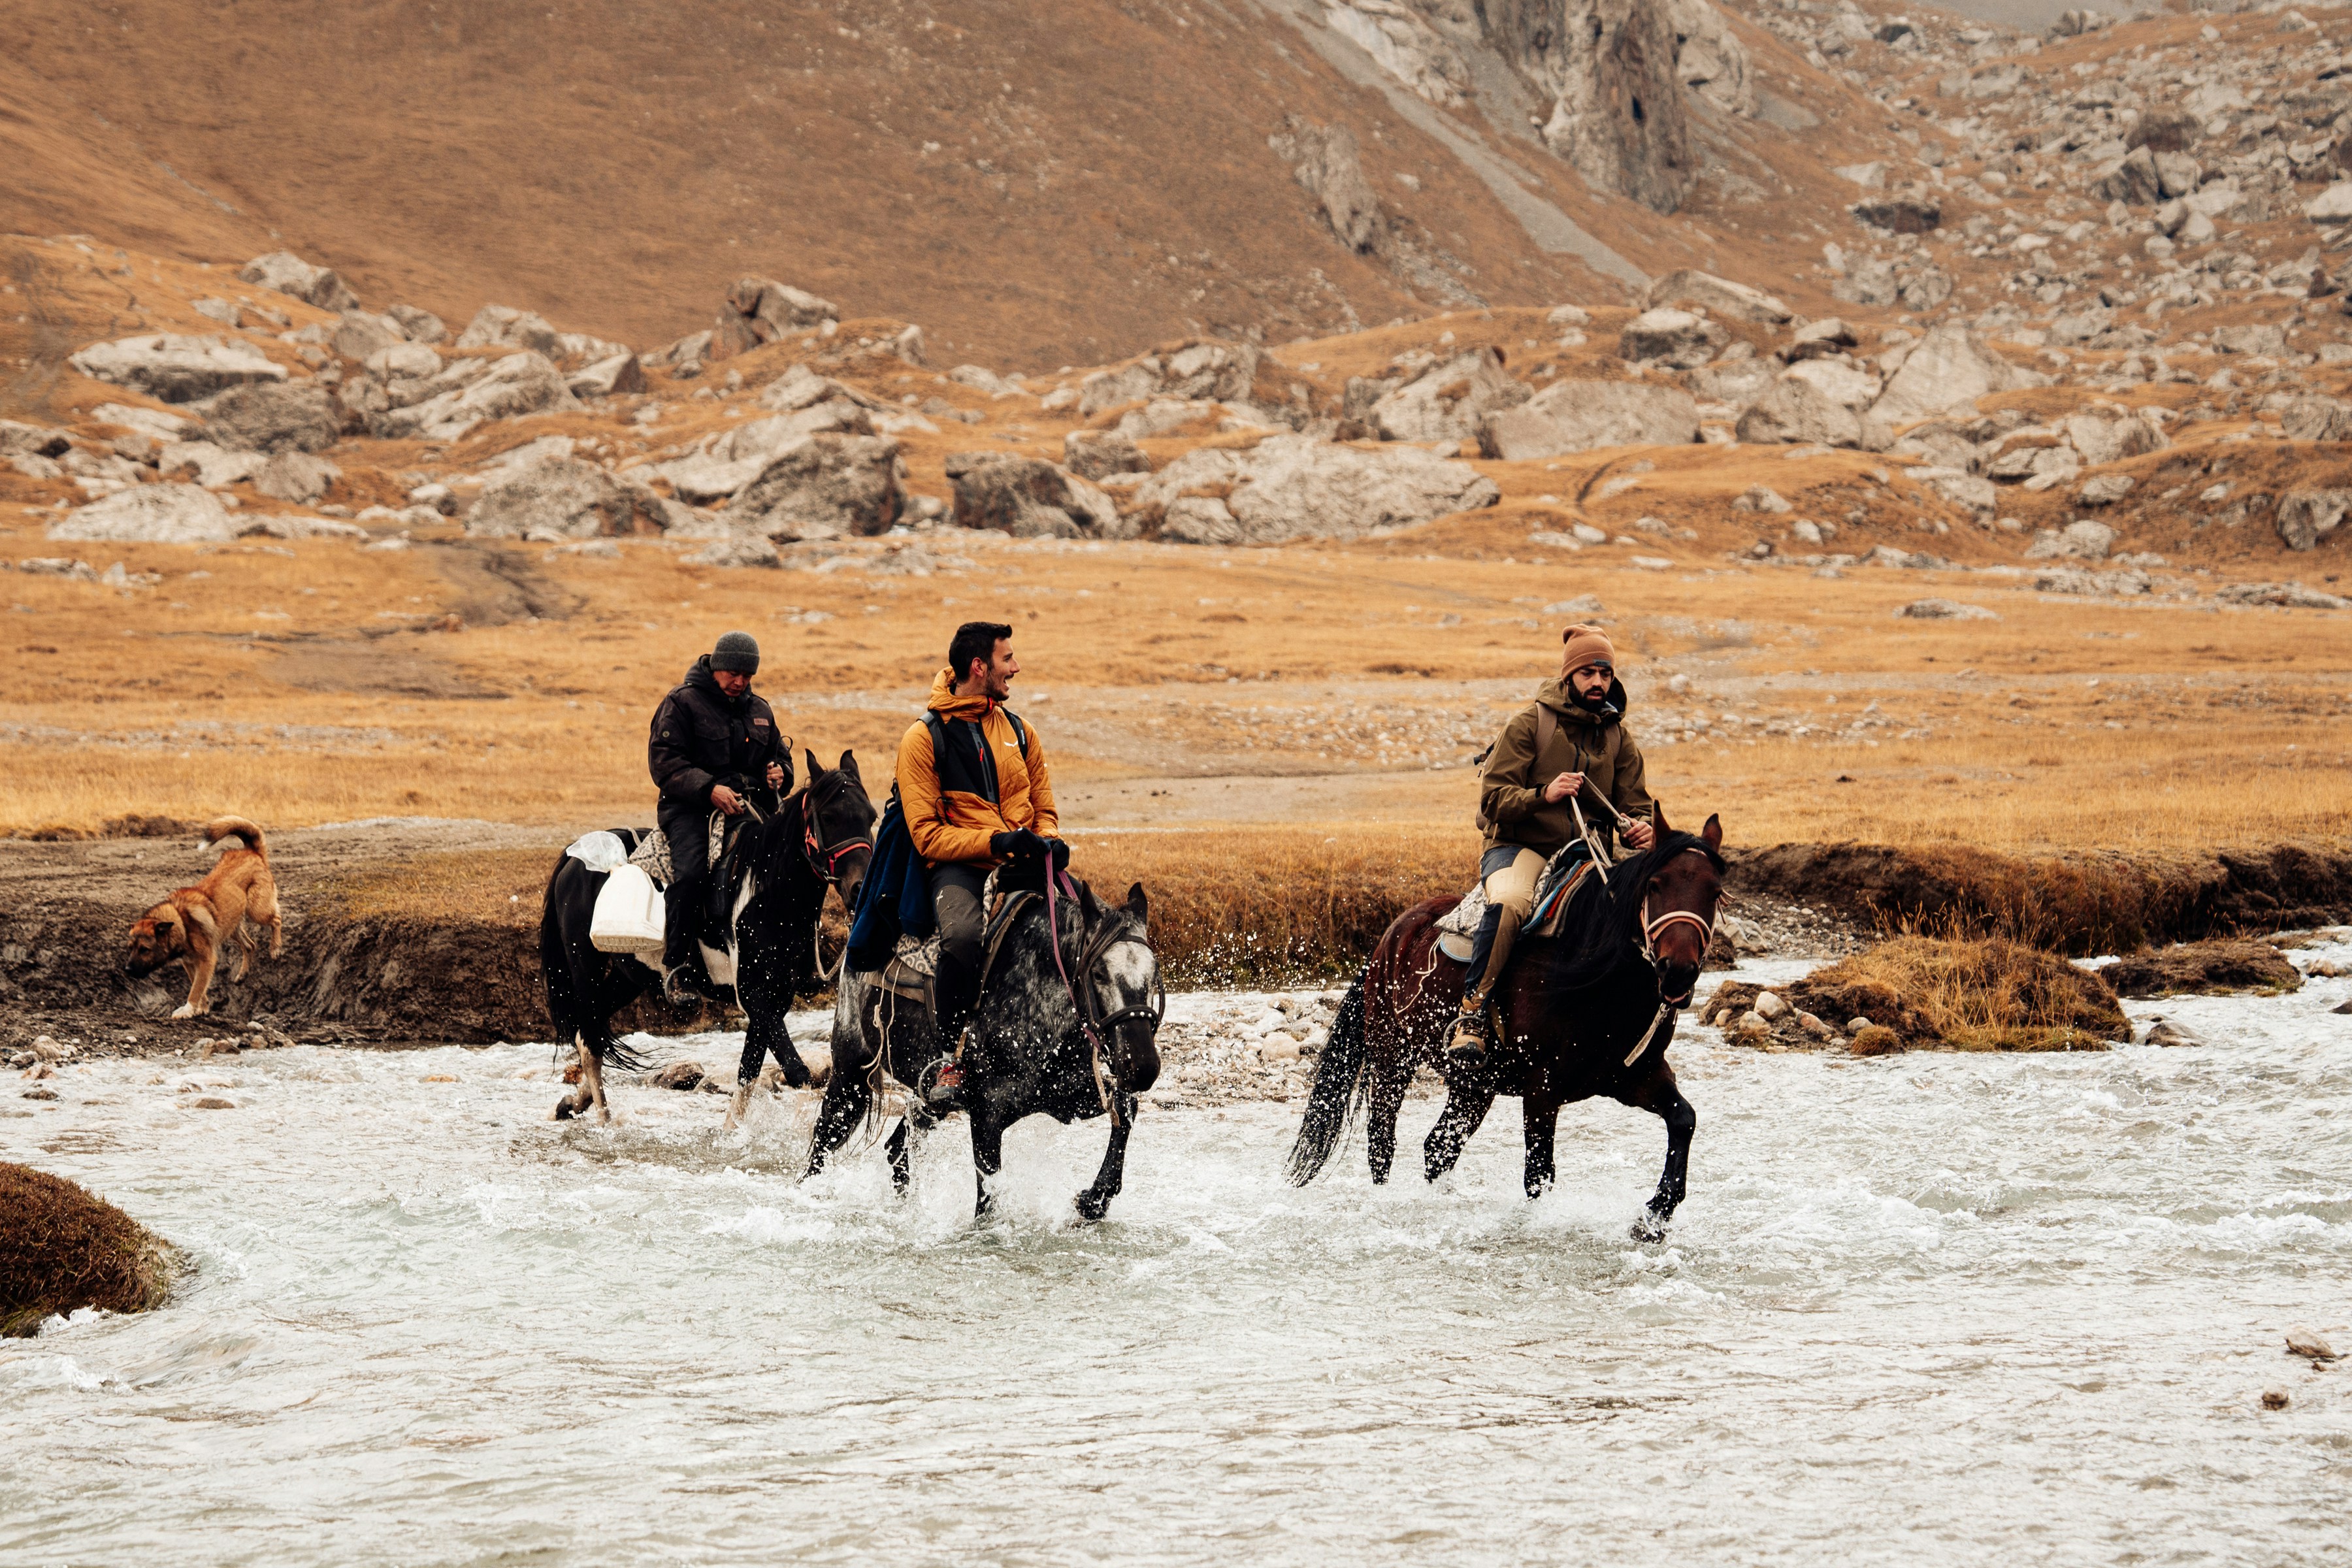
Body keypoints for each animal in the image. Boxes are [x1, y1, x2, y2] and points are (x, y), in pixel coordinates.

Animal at [538, 749, 876, 1125]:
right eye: (829, 817)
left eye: (872, 817)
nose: (861, 888)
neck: (767, 892)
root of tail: (573, 858)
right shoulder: (754, 996)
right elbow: (797, 1072)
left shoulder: (776, 999)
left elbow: (749, 1072)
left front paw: (731, 1133)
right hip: (584, 967)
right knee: (590, 1040)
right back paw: (604, 1120)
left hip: (630, 977)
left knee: (593, 1029)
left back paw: (574, 1102)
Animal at [805, 873, 1163, 1222]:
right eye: (1099, 973)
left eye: (1154, 972)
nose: (1143, 1067)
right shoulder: (986, 1116)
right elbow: (987, 1203)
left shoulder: (1068, 1098)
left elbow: (1126, 1108)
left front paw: (1094, 1200)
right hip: (851, 1076)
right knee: (823, 1141)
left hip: (929, 1102)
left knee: (897, 1150)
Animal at [1285, 807, 1725, 1241]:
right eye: (1655, 885)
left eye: (1715, 892)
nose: (1678, 973)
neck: (1598, 976)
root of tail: (1391, 936)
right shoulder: (1543, 1090)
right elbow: (1539, 1174)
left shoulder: (1636, 1077)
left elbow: (1684, 1121)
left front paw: (1654, 1216)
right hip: (1393, 1059)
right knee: (1382, 1141)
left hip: (1473, 1086)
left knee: (1439, 1147)